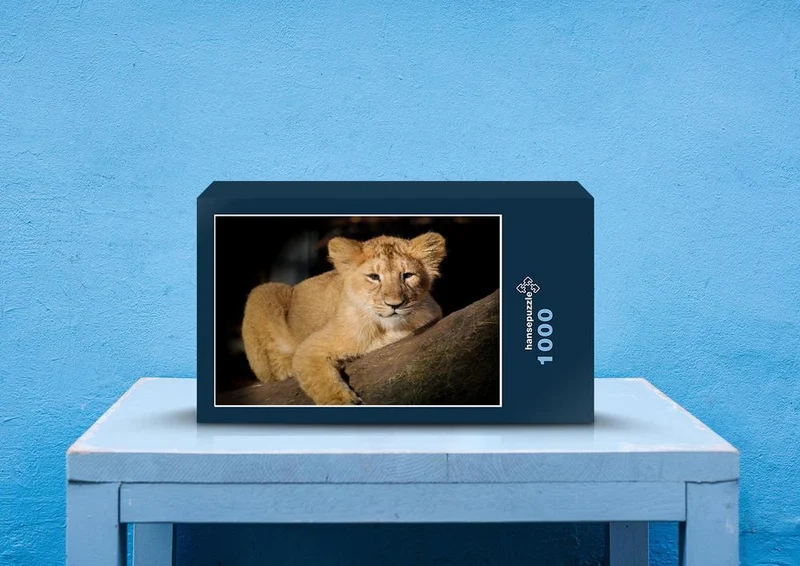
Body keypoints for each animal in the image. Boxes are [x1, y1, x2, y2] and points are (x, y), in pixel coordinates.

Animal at [241, 232, 446, 405]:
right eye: (374, 277)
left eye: (408, 275)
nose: (394, 304)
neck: (387, 328)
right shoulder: (309, 348)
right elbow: (321, 382)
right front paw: (341, 401)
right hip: (263, 292)